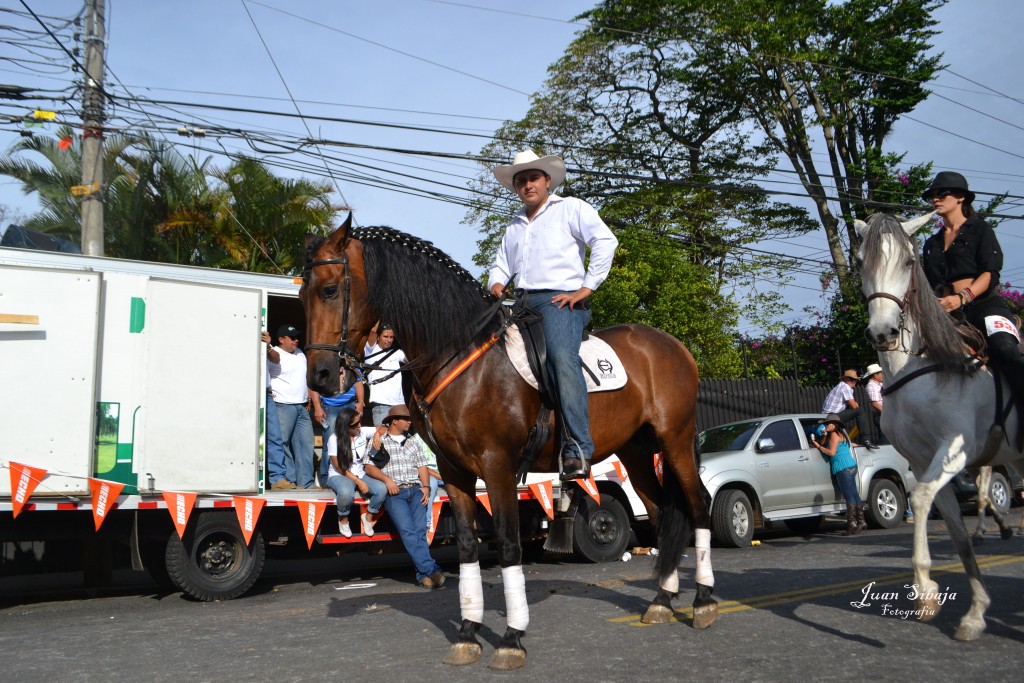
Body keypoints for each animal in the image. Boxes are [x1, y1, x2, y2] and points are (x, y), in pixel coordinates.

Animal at [299, 218, 716, 667]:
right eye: (302, 295)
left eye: (330, 290)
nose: (319, 377)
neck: (459, 355)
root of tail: (672, 344)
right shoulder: (454, 471)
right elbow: (467, 546)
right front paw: (467, 632)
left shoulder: (497, 465)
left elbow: (508, 544)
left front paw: (512, 638)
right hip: (637, 451)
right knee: (660, 512)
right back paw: (661, 600)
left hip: (675, 439)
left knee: (697, 504)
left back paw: (704, 601)